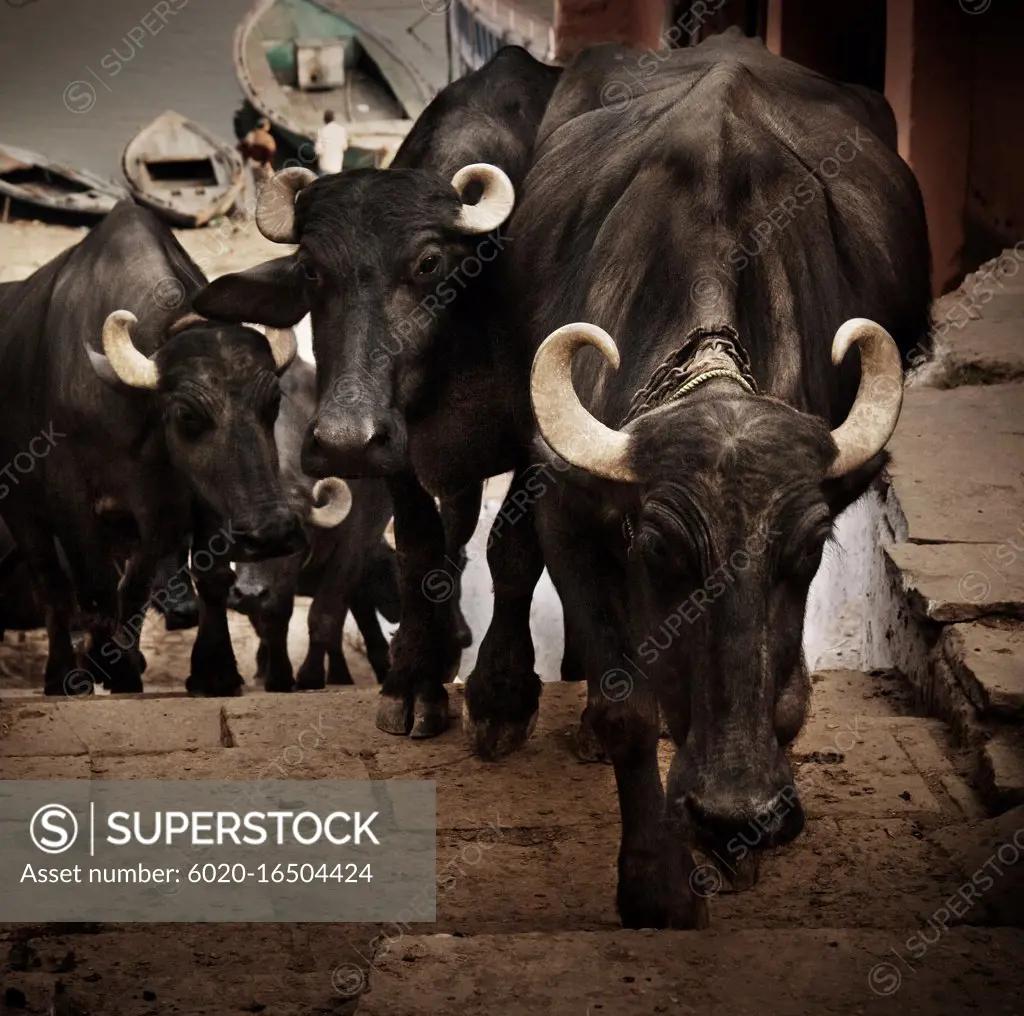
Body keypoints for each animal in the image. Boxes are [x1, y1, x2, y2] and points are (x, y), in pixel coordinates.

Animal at [0, 206, 348, 696]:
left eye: (273, 402)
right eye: (186, 414)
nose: (272, 532)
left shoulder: (180, 505)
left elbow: (178, 581)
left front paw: (213, 672)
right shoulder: (72, 499)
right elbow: (95, 587)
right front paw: (102, 669)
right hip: (22, 507)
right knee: (50, 580)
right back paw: (65, 673)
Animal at [226, 354, 397, 692]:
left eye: (291, 536)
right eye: (239, 535)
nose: (248, 594)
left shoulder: (351, 553)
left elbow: (325, 616)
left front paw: (310, 676)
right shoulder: (278, 584)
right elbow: (274, 621)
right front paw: (277, 676)